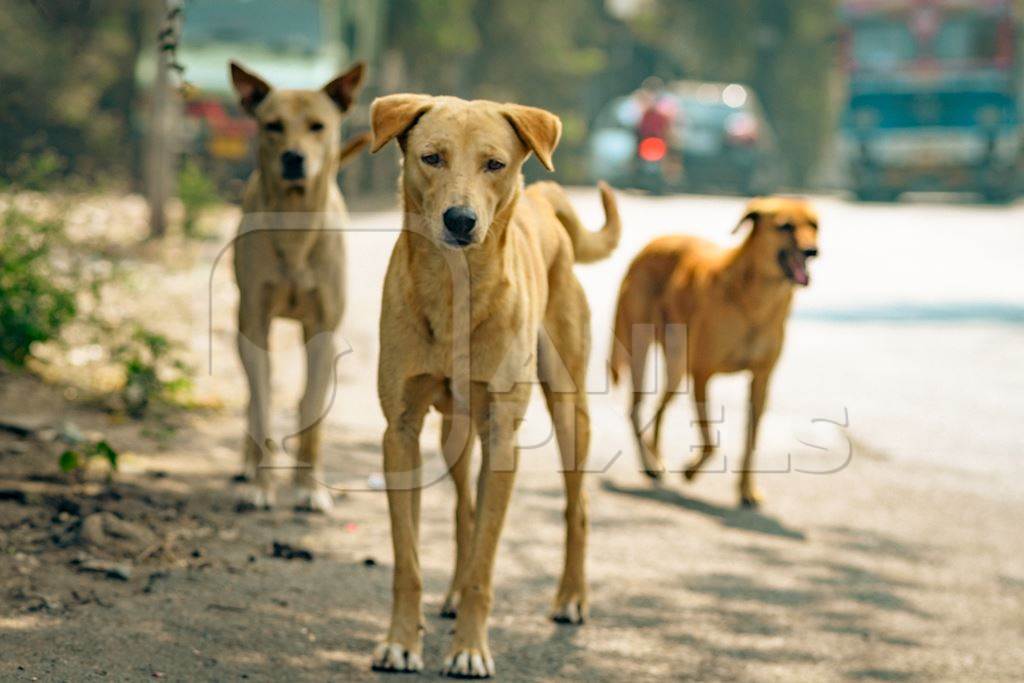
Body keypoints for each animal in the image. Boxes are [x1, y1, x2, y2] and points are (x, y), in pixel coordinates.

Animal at [230, 60, 366, 511]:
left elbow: (311, 408)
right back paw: (247, 464)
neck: (294, 228)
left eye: (317, 126)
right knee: (253, 399)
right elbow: (263, 402)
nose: (293, 158)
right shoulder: (254, 323)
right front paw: (262, 484)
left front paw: (309, 487)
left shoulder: (323, 329)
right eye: (272, 125)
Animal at [368, 92, 618, 679]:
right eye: (431, 158)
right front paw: (401, 642)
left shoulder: (503, 437)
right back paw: (453, 594)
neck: (454, 291)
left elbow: (487, 562)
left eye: (494, 164)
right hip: (454, 431)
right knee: (465, 510)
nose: (461, 220)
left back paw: (571, 598)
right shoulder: (401, 431)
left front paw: (469, 648)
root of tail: (543, 202)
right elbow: (409, 558)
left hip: (569, 408)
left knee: (576, 507)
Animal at [610, 197, 819, 507]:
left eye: (814, 225)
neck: (755, 301)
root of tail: (651, 245)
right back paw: (649, 463)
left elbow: (750, 441)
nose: (812, 251)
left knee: (659, 408)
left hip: (677, 368)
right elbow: (710, 441)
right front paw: (690, 471)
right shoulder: (702, 374)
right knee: (635, 409)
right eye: (785, 226)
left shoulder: (761, 381)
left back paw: (656, 459)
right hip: (641, 351)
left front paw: (747, 489)